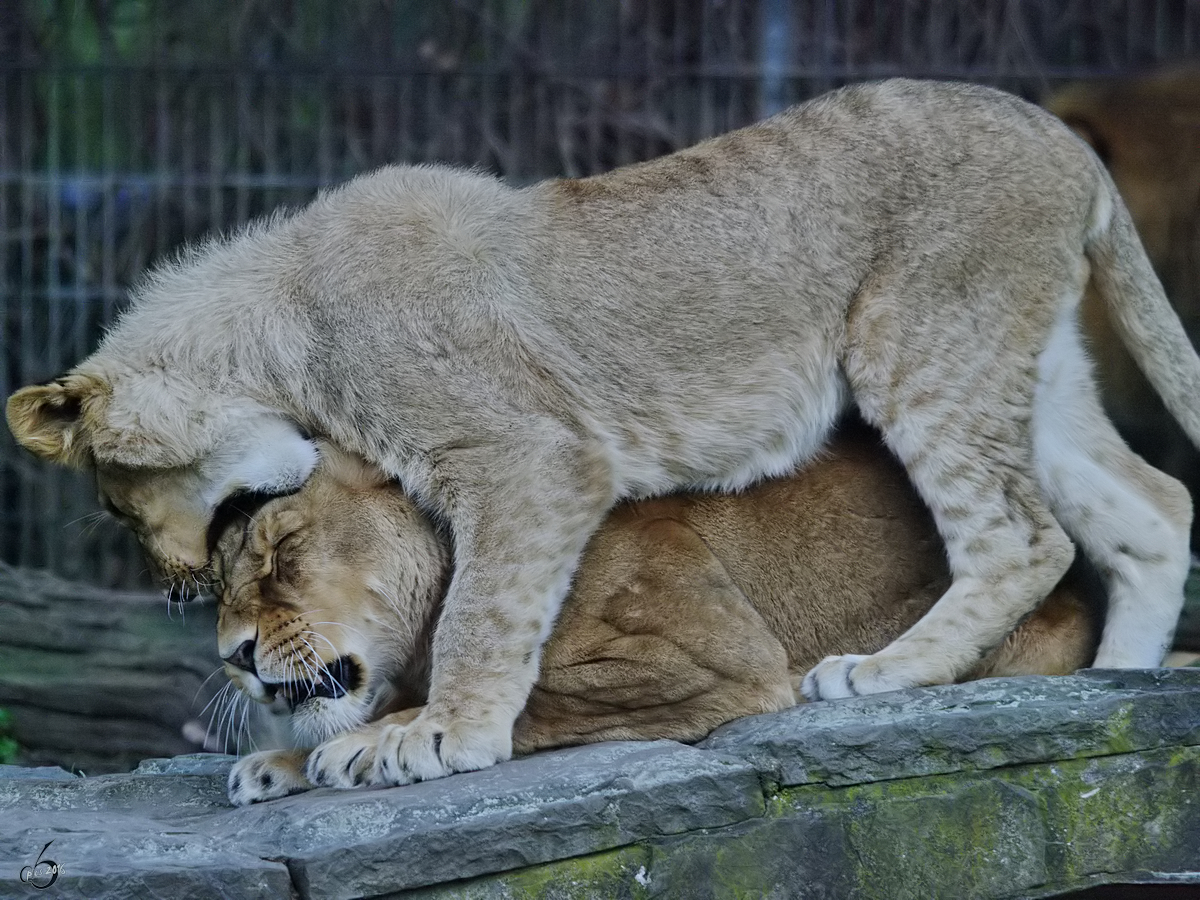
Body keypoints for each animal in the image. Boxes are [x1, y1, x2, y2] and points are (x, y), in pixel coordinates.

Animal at [216, 427, 1099, 806]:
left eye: (281, 552)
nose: (232, 655)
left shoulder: (712, 660)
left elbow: (521, 704)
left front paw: (376, 746)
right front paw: (282, 762)